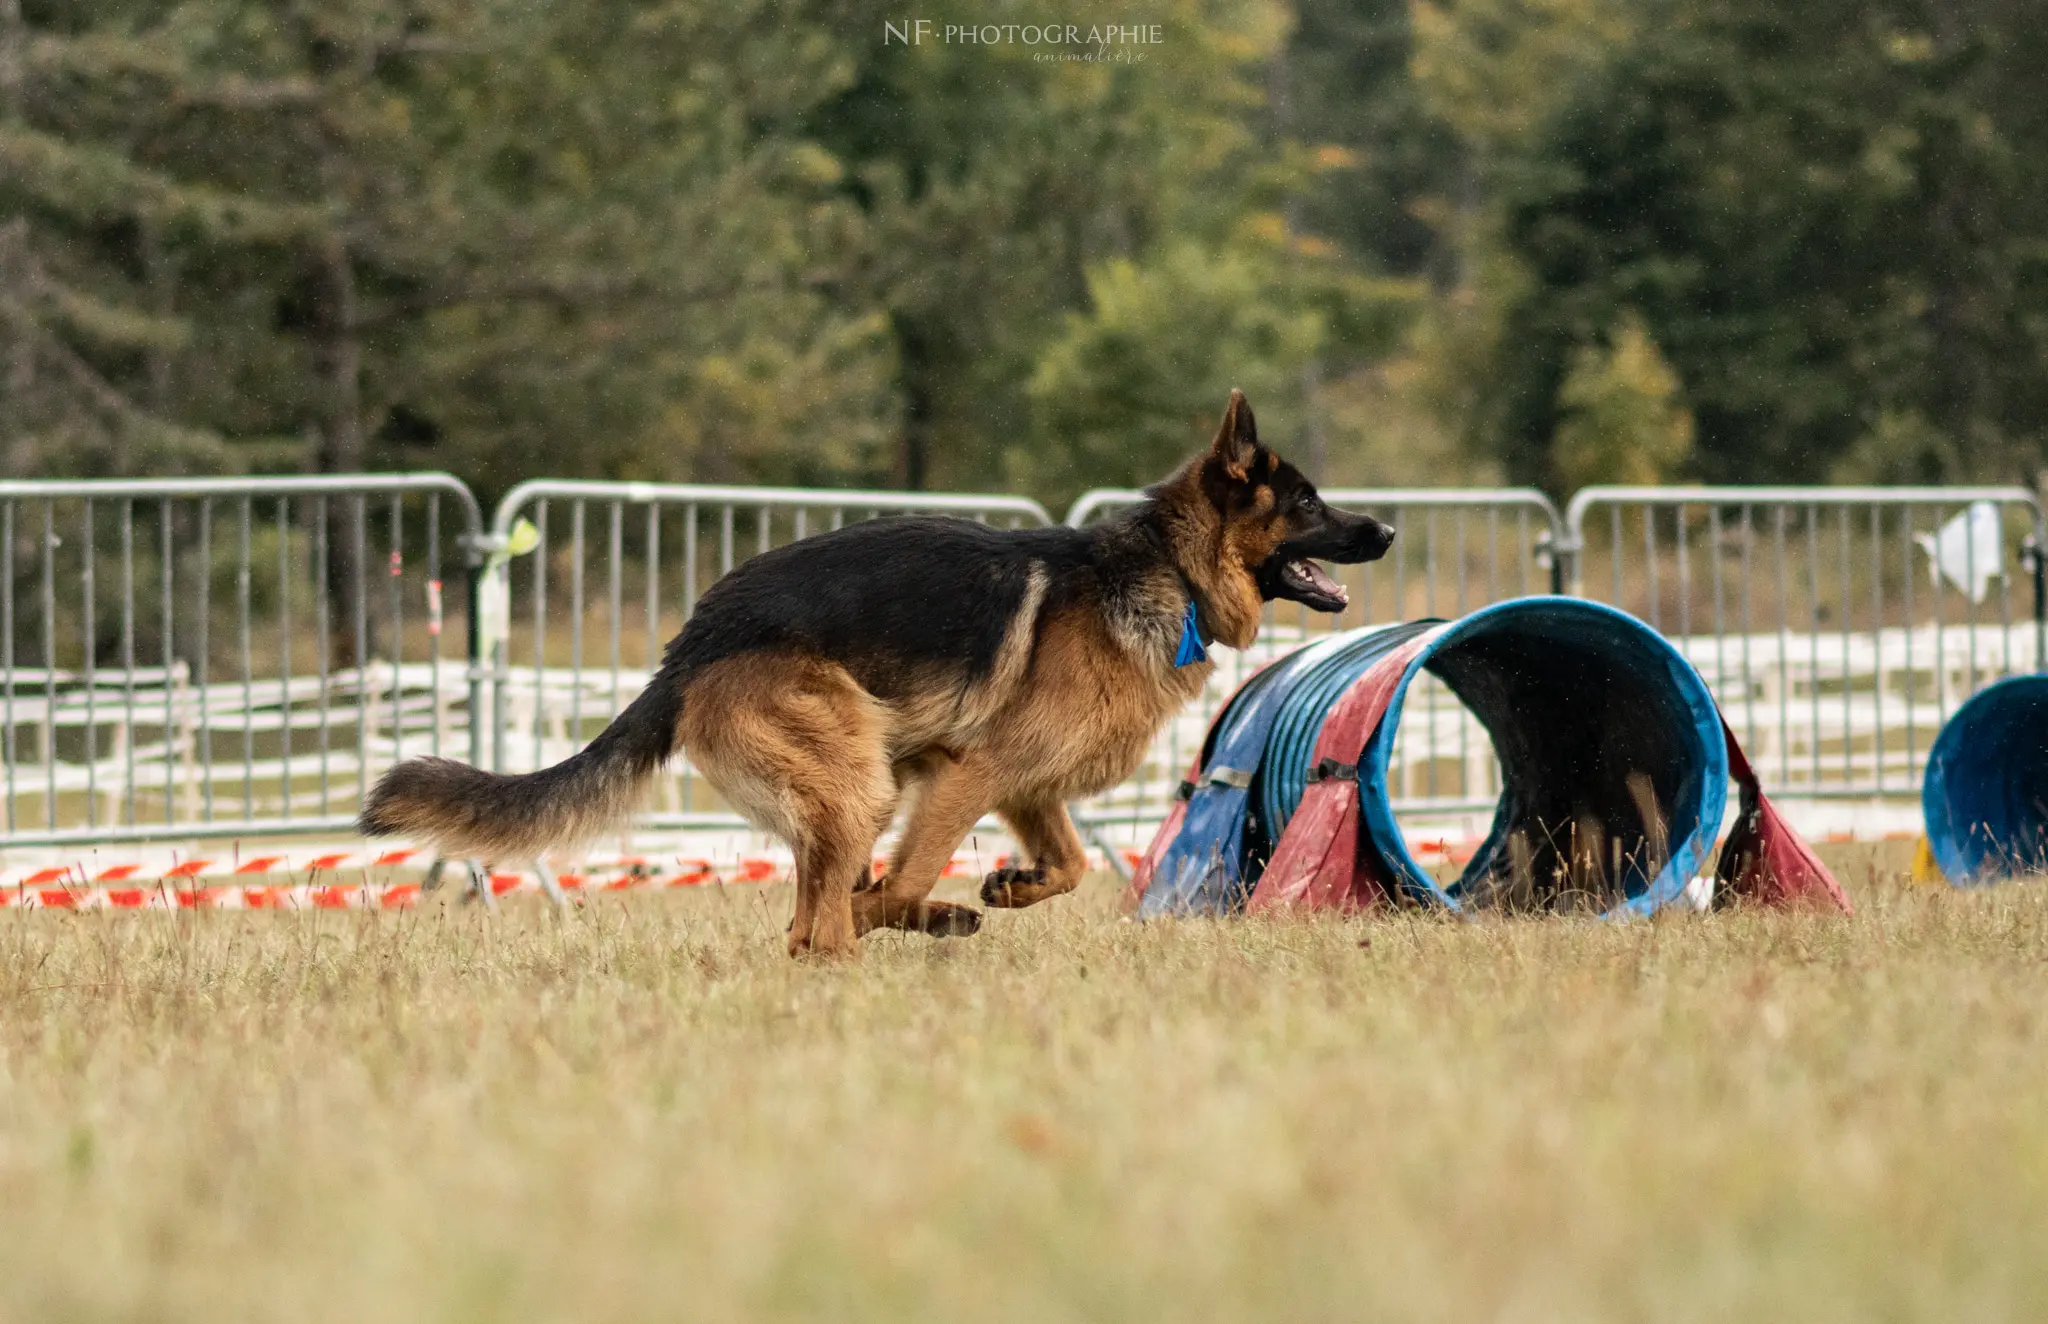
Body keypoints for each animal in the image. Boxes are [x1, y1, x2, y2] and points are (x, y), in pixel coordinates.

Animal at [364, 389, 1392, 959]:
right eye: (1308, 503)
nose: (1387, 528)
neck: (1165, 570)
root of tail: (689, 645)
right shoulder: (965, 775)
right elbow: (900, 882)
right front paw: (921, 909)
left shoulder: (1023, 786)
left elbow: (1065, 868)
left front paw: (1006, 888)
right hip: (861, 775)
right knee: (816, 929)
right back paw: (872, 939)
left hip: (851, 784)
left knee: (810, 918)